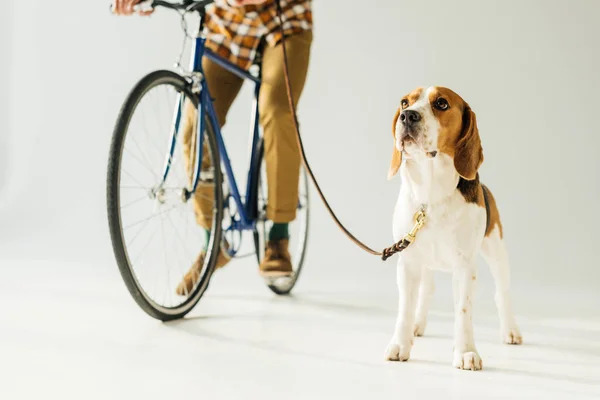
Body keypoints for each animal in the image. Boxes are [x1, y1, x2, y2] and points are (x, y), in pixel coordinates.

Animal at [384, 86, 520, 370]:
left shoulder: (465, 266)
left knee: (502, 293)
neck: (431, 196)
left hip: (497, 252)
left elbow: (463, 311)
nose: (407, 116)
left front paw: (466, 351)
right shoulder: (408, 262)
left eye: (442, 103)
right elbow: (405, 308)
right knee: (426, 291)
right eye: (404, 102)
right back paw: (417, 326)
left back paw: (511, 330)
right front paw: (400, 344)